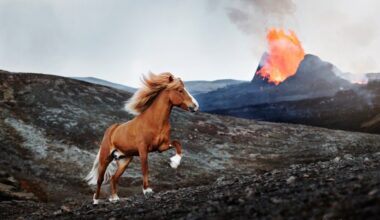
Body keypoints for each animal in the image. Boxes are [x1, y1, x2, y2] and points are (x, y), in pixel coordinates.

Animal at [83, 72, 199, 205]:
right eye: (180, 90)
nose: (196, 106)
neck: (154, 121)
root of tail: (111, 129)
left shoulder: (161, 146)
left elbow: (177, 143)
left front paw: (174, 162)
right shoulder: (143, 149)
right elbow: (145, 168)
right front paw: (147, 190)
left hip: (124, 160)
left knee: (113, 178)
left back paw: (115, 198)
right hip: (105, 158)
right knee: (100, 179)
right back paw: (96, 200)